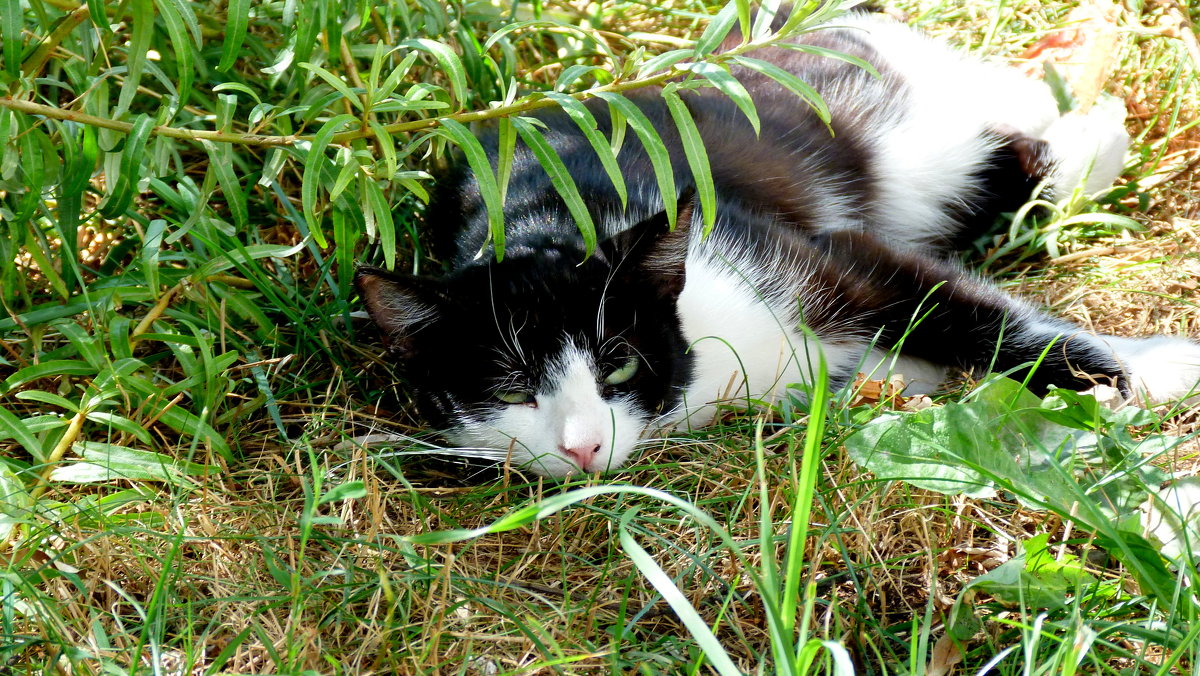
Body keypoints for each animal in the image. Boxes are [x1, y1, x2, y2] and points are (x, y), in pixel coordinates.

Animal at [350, 9, 1200, 475]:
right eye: (507, 390)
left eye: (618, 361)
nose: (582, 448)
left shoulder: (831, 257)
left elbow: (976, 315)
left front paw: (1151, 373)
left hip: (900, 137)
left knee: (995, 116)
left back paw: (1090, 127)